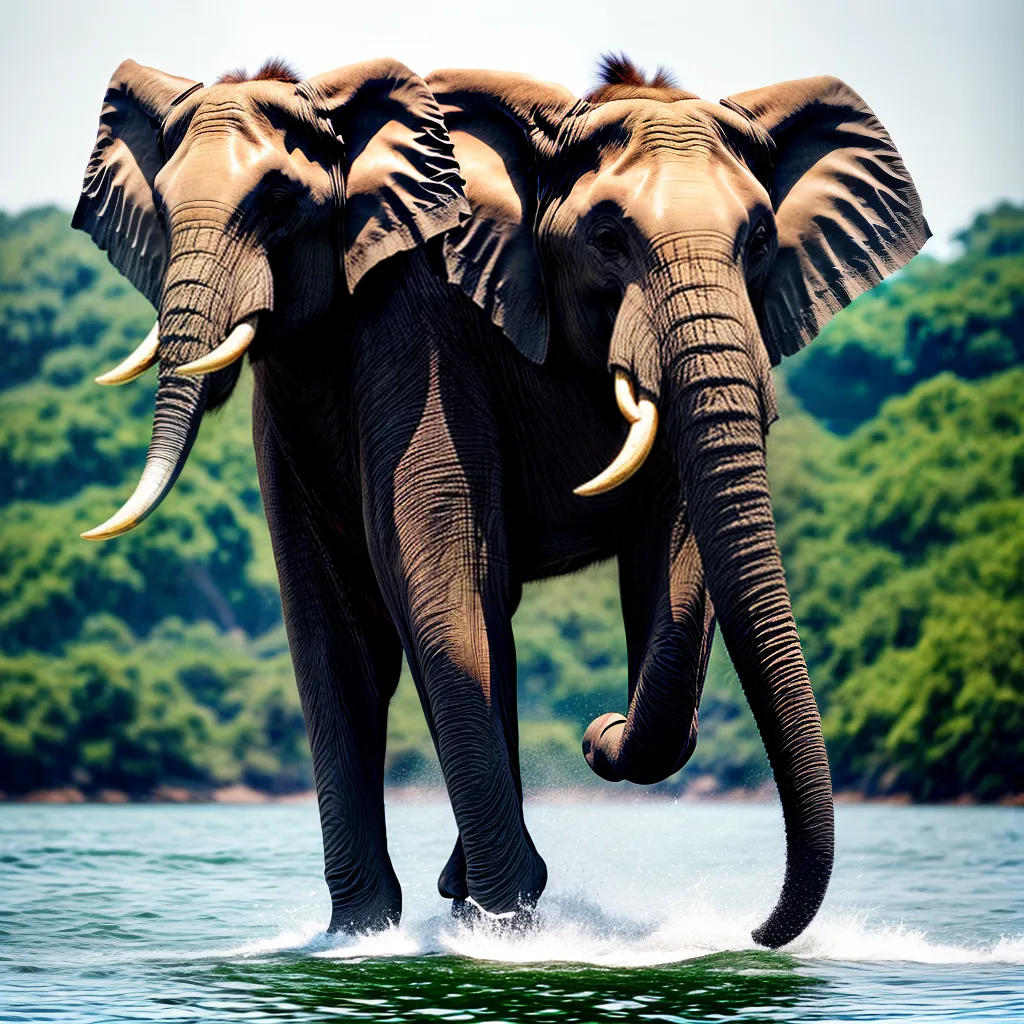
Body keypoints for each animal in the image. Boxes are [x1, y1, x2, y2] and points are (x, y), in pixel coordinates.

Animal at [73, 53, 928, 948]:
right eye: (608, 238)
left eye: (760, 239)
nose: (758, 934)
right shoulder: (409, 335)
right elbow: (430, 581)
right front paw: (507, 928)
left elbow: (671, 563)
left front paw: (589, 773)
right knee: (360, 637)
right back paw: (376, 931)